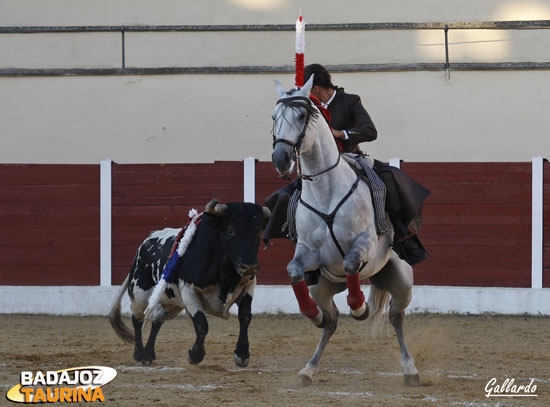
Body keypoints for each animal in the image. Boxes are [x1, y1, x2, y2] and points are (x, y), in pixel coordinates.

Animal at [109, 199, 270, 368]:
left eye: (258, 232)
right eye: (230, 231)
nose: (250, 267)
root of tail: (144, 244)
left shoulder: (248, 287)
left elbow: (245, 317)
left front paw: (242, 354)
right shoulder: (189, 290)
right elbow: (201, 323)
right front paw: (195, 355)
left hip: (172, 303)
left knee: (156, 320)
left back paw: (149, 353)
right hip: (139, 293)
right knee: (137, 319)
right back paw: (139, 355)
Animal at [272, 77, 422, 388]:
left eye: (302, 116)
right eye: (273, 117)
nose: (281, 158)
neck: (325, 190)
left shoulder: (365, 244)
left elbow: (351, 263)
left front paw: (359, 308)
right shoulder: (308, 252)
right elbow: (293, 270)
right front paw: (313, 315)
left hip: (402, 280)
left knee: (396, 317)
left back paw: (410, 369)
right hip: (321, 286)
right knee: (331, 322)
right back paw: (308, 368)